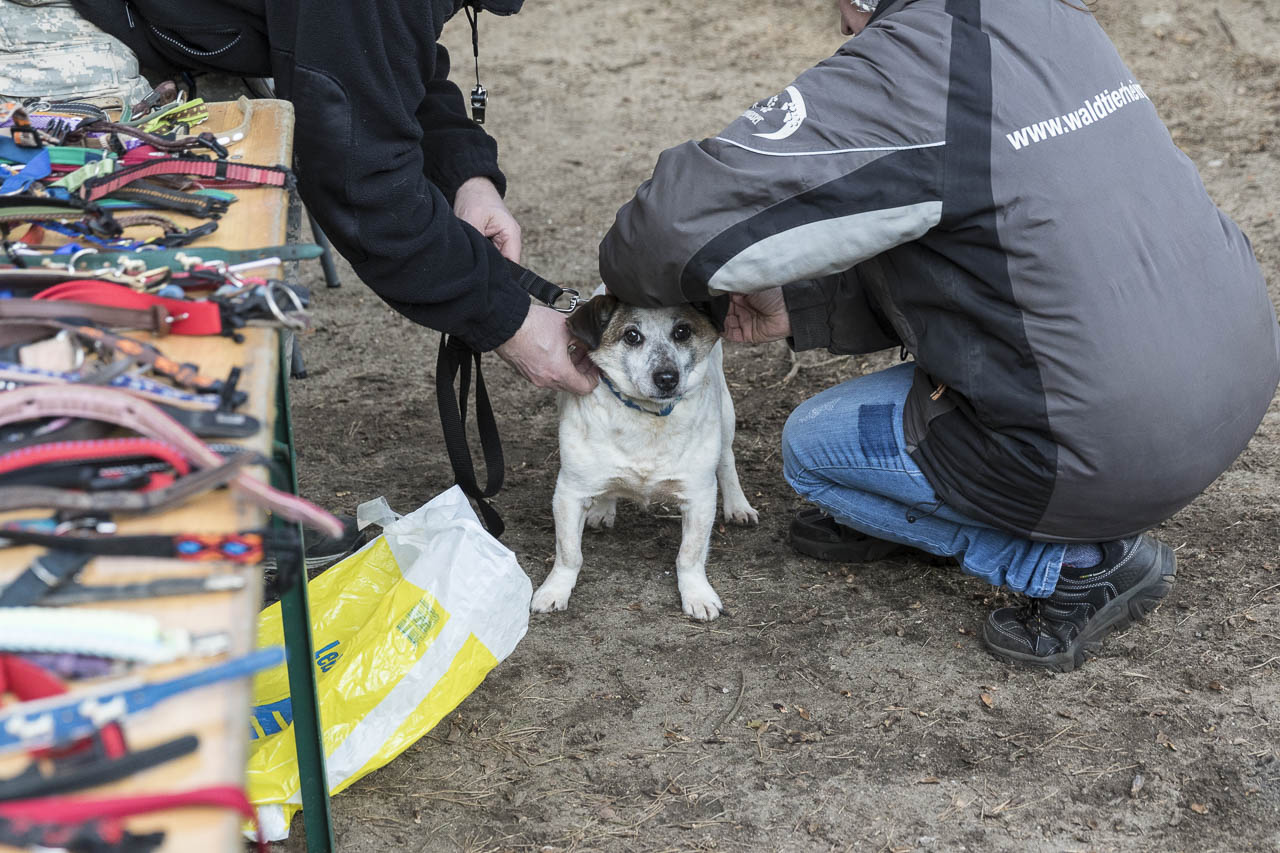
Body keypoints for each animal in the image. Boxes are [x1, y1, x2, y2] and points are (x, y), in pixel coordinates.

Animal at [530, 292, 758, 621]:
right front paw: (555, 590)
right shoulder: (569, 492)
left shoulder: (699, 497)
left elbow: (689, 555)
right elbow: (569, 552)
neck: (647, 417)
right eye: (632, 336)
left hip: (726, 415)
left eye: (682, 332)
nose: (667, 378)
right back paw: (603, 508)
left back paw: (738, 505)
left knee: (727, 461)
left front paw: (697, 594)